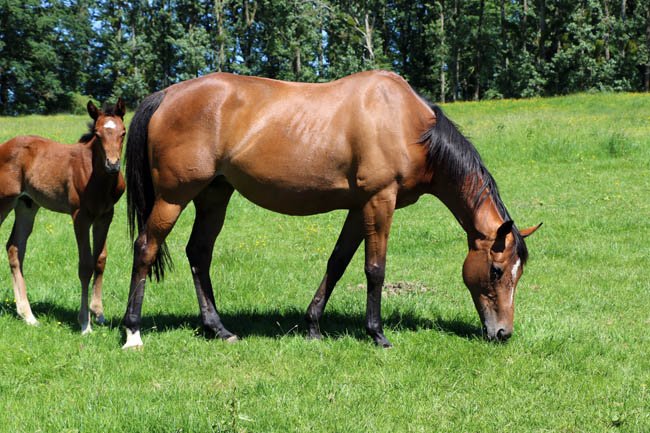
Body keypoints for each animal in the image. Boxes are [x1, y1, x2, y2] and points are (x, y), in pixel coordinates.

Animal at [0, 99, 126, 334]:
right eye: (97, 134)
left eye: (123, 132)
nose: (113, 165)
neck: (98, 178)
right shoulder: (80, 217)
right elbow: (85, 265)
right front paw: (85, 323)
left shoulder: (105, 216)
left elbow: (100, 259)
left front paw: (99, 313)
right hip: (4, 201)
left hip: (26, 205)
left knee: (15, 248)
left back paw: (28, 316)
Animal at [123, 70, 540, 349]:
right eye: (497, 270)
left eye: (518, 273)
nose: (503, 332)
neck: (407, 125)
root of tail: (166, 95)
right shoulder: (379, 202)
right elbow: (375, 269)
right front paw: (377, 334)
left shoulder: (359, 208)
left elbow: (337, 263)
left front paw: (312, 326)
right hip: (174, 197)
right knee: (145, 248)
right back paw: (133, 331)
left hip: (214, 195)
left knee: (199, 253)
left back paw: (218, 329)